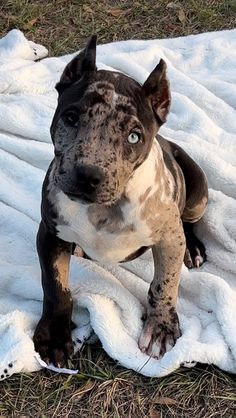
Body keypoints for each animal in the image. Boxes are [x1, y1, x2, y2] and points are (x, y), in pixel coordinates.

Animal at [33, 37, 208, 368]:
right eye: (71, 117)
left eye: (134, 137)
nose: (88, 175)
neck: (105, 208)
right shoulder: (50, 232)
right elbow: (55, 285)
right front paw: (54, 335)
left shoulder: (168, 238)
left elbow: (165, 282)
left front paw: (160, 327)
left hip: (198, 194)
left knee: (189, 221)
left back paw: (192, 248)